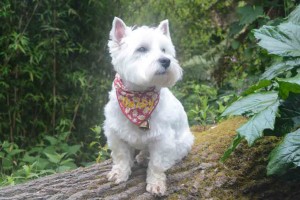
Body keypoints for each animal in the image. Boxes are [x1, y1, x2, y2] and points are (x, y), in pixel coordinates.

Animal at [103, 17, 195, 195]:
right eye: (142, 49)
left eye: (164, 50)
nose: (166, 61)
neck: (138, 97)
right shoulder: (115, 132)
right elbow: (121, 156)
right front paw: (119, 173)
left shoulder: (162, 139)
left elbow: (157, 164)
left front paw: (156, 184)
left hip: (183, 142)